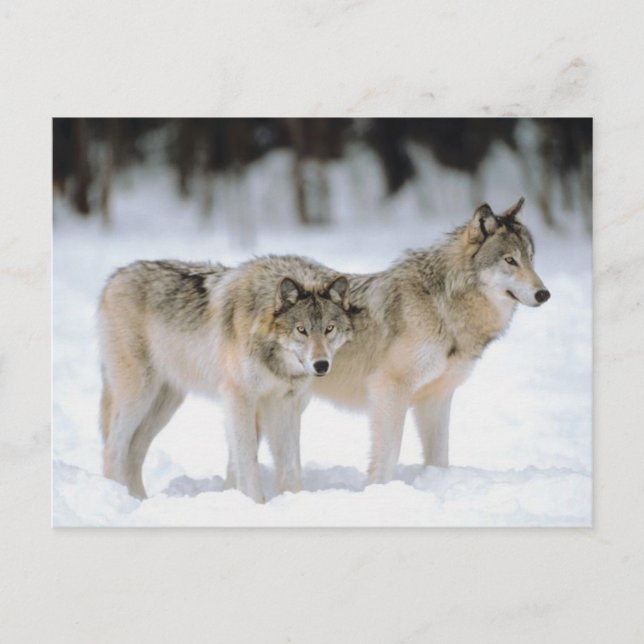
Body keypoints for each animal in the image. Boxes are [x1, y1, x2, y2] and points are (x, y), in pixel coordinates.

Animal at [99, 255, 353, 503]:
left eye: (329, 329)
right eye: (301, 330)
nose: (321, 365)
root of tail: (116, 277)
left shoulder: (285, 403)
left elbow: (291, 465)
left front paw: (295, 500)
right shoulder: (239, 397)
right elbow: (247, 459)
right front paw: (256, 503)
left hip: (164, 405)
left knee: (134, 450)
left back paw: (139, 499)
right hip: (138, 395)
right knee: (113, 448)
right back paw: (121, 497)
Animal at [312, 198, 550, 483]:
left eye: (531, 259)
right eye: (510, 260)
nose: (544, 294)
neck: (442, 307)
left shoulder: (437, 397)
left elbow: (440, 457)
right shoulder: (389, 388)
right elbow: (388, 457)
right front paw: (380, 489)